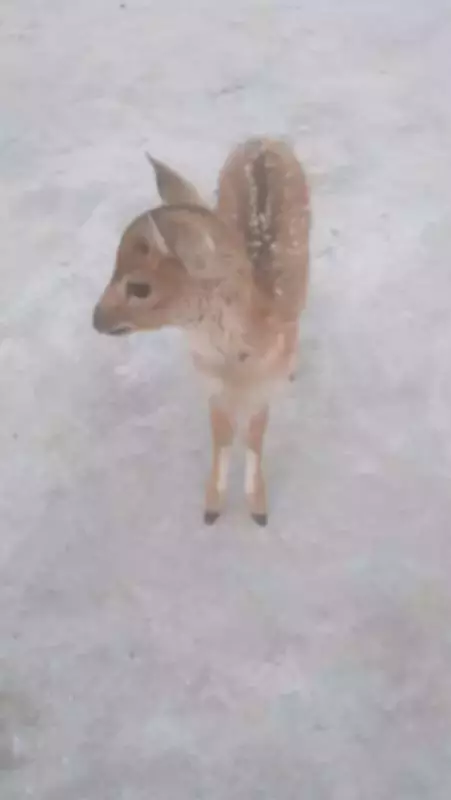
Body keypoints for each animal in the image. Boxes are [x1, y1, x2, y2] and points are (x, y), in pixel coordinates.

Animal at [92, 137, 310, 526]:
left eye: (140, 287)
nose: (96, 318)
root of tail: (264, 140)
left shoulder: (265, 384)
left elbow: (255, 436)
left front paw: (258, 511)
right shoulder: (209, 382)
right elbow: (221, 435)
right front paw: (212, 508)